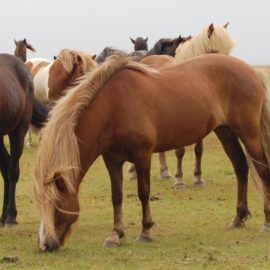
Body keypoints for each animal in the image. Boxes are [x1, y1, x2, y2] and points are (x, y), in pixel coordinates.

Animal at [34, 52, 270, 251]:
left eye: (57, 205)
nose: (46, 245)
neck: (114, 107)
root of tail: (252, 72)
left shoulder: (143, 155)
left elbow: (143, 192)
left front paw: (145, 231)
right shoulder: (112, 160)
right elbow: (116, 196)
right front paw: (115, 235)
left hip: (248, 133)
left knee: (262, 170)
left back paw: (266, 222)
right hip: (226, 132)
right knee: (241, 168)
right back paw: (238, 218)